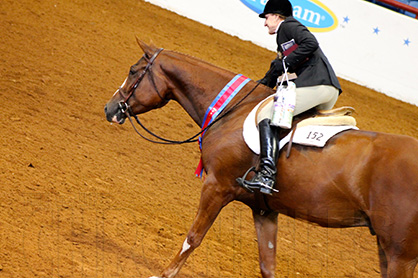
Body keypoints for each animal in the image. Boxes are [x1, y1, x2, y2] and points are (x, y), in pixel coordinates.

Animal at [104, 39, 418, 278]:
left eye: (133, 71)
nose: (110, 108)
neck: (232, 109)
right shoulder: (264, 209)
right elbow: (268, 265)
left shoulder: (217, 186)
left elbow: (193, 238)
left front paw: (163, 274)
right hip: (386, 246)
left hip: (399, 252)